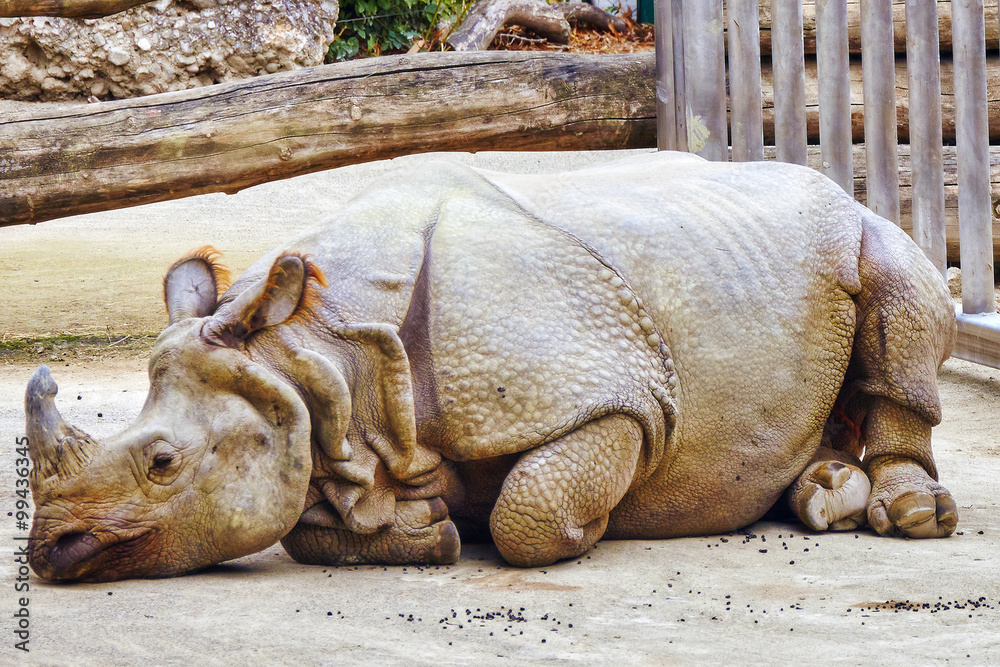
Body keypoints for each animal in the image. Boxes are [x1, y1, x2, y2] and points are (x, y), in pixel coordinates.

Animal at [25, 152, 958, 582]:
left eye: (162, 462)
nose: (47, 552)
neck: (312, 347)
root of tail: (834, 185)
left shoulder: (620, 394)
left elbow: (532, 507)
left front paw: (586, 528)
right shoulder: (316, 421)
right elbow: (314, 526)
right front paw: (429, 523)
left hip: (862, 224)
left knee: (902, 291)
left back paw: (908, 515)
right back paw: (825, 495)